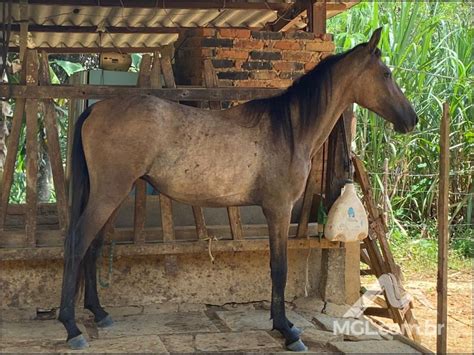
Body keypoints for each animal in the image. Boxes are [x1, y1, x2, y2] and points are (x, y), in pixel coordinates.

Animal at [60, 29, 418, 352]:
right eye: (386, 73)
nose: (412, 120)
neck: (289, 130)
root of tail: (96, 108)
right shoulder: (278, 209)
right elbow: (279, 268)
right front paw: (287, 331)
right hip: (109, 193)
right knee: (78, 242)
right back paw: (72, 328)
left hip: (113, 196)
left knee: (93, 246)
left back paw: (100, 313)